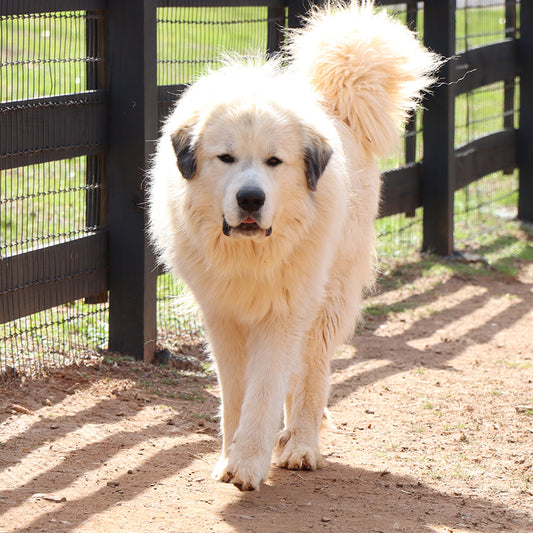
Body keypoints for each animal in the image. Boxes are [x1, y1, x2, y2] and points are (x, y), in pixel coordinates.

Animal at [148, 1, 438, 490]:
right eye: (226, 158)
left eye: (274, 161)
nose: (250, 199)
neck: (250, 255)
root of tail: (335, 103)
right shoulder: (223, 318)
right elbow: (236, 396)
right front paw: (230, 457)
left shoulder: (282, 314)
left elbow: (264, 392)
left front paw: (248, 462)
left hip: (326, 302)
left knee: (310, 376)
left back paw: (301, 445)